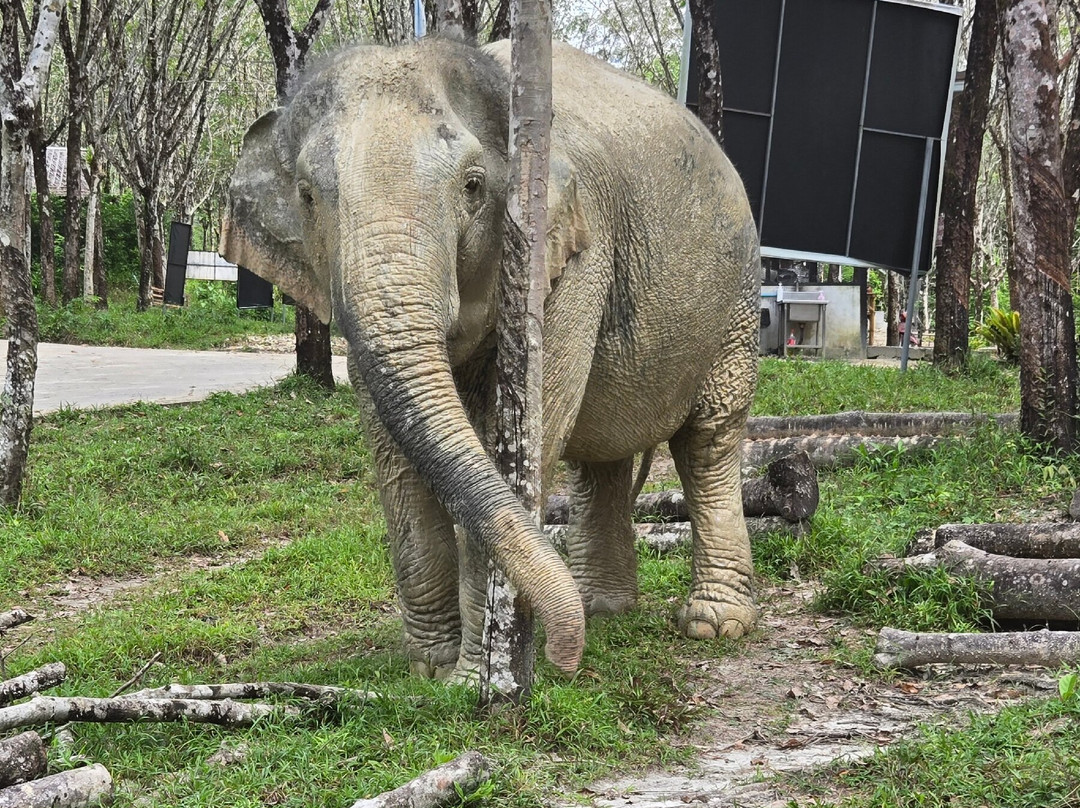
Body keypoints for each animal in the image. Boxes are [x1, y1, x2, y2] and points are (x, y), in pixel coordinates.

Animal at [220, 37, 761, 679]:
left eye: (474, 186)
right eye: (306, 196)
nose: (564, 658)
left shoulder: (575, 254)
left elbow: (527, 434)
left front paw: (472, 677)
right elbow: (394, 454)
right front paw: (431, 670)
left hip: (737, 299)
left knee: (707, 440)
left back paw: (712, 624)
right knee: (599, 456)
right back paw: (601, 609)